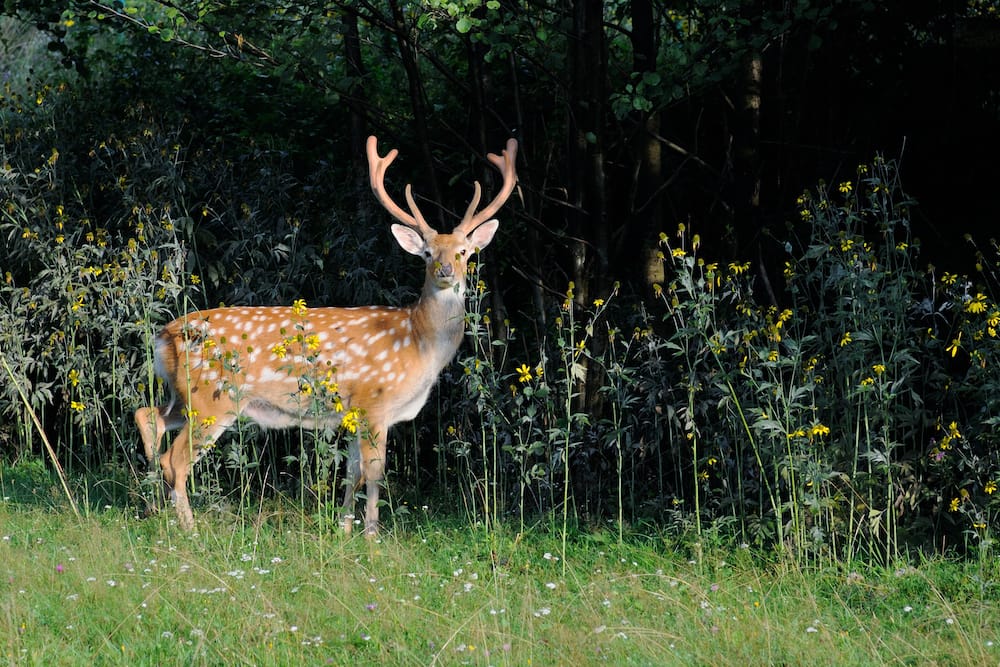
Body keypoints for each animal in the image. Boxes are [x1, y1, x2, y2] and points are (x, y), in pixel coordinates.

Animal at [134, 136, 520, 536]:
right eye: (427, 253)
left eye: (464, 252)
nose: (445, 270)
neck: (418, 344)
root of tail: (164, 335)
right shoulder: (372, 402)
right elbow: (374, 472)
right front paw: (372, 534)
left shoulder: (350, 413)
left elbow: (351, 472)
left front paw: (345, 528)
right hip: (213, 397)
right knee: (176, 458)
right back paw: (188, 527)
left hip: (185, 394)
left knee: (147, 415)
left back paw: (153, 505)